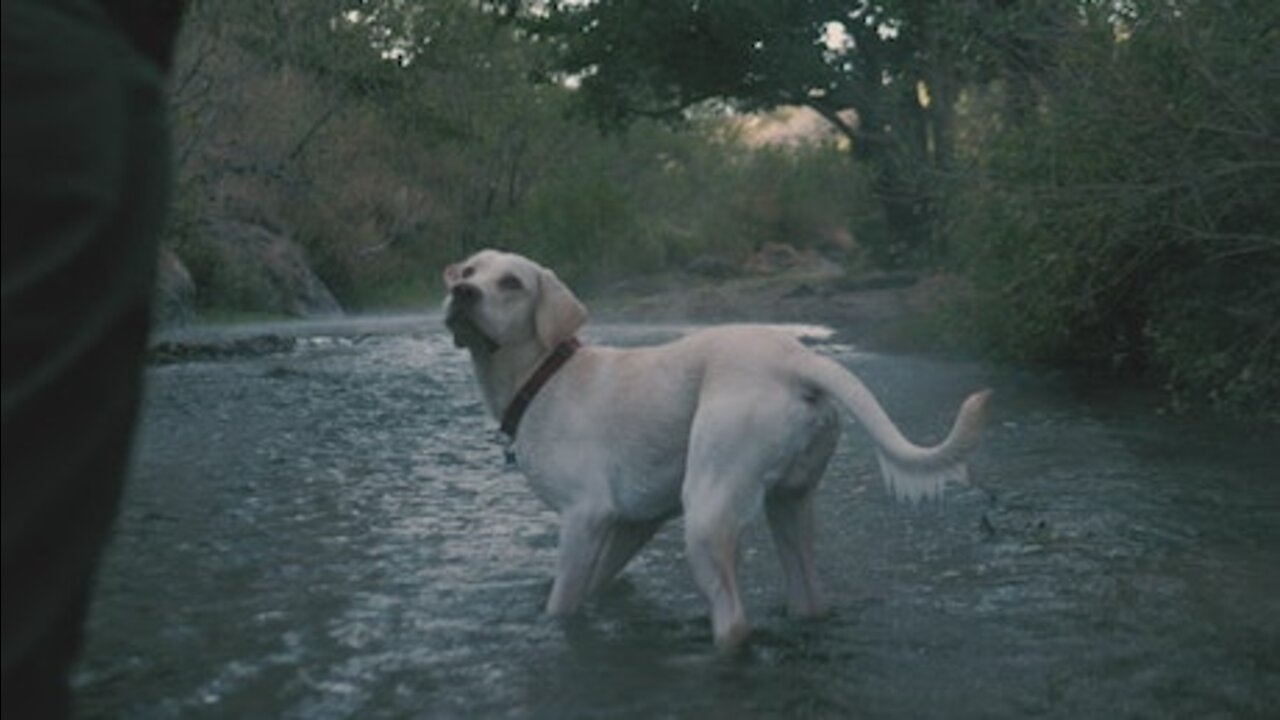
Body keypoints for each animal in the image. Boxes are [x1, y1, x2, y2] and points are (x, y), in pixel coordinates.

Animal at [440, 249, 988, 648]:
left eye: (512, 283)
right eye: (468, 271)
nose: (461, 292)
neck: (543, 377)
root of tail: (797, 360)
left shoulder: (584, 516)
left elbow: (562, 603)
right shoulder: (633, 523)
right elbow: (597, 583)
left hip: (706, 513)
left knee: (734, 620)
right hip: (790, 508)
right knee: (809, 596)